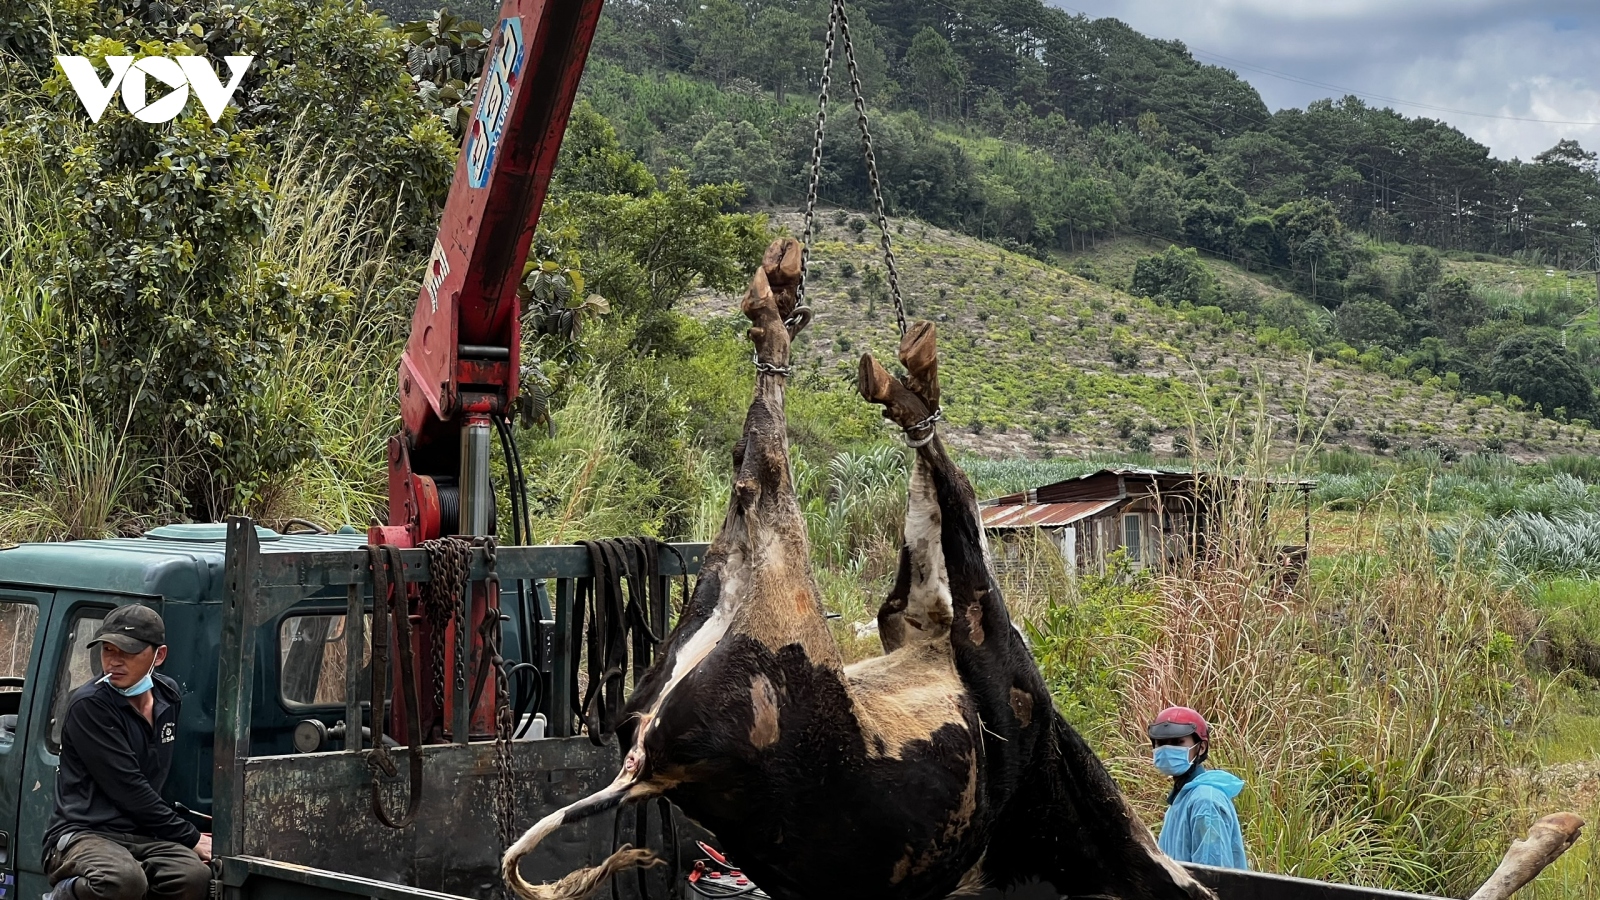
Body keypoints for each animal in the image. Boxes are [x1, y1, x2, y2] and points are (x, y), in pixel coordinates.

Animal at [502, 238, 1209, 896]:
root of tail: (646, 771)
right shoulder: (996, 657)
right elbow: (957, 535)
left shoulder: (933, 634)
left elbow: (920, 573)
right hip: (790, 588)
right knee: (790, 455)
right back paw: (818, 330)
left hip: (726, 597)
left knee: (763, 470)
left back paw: (800, 318)